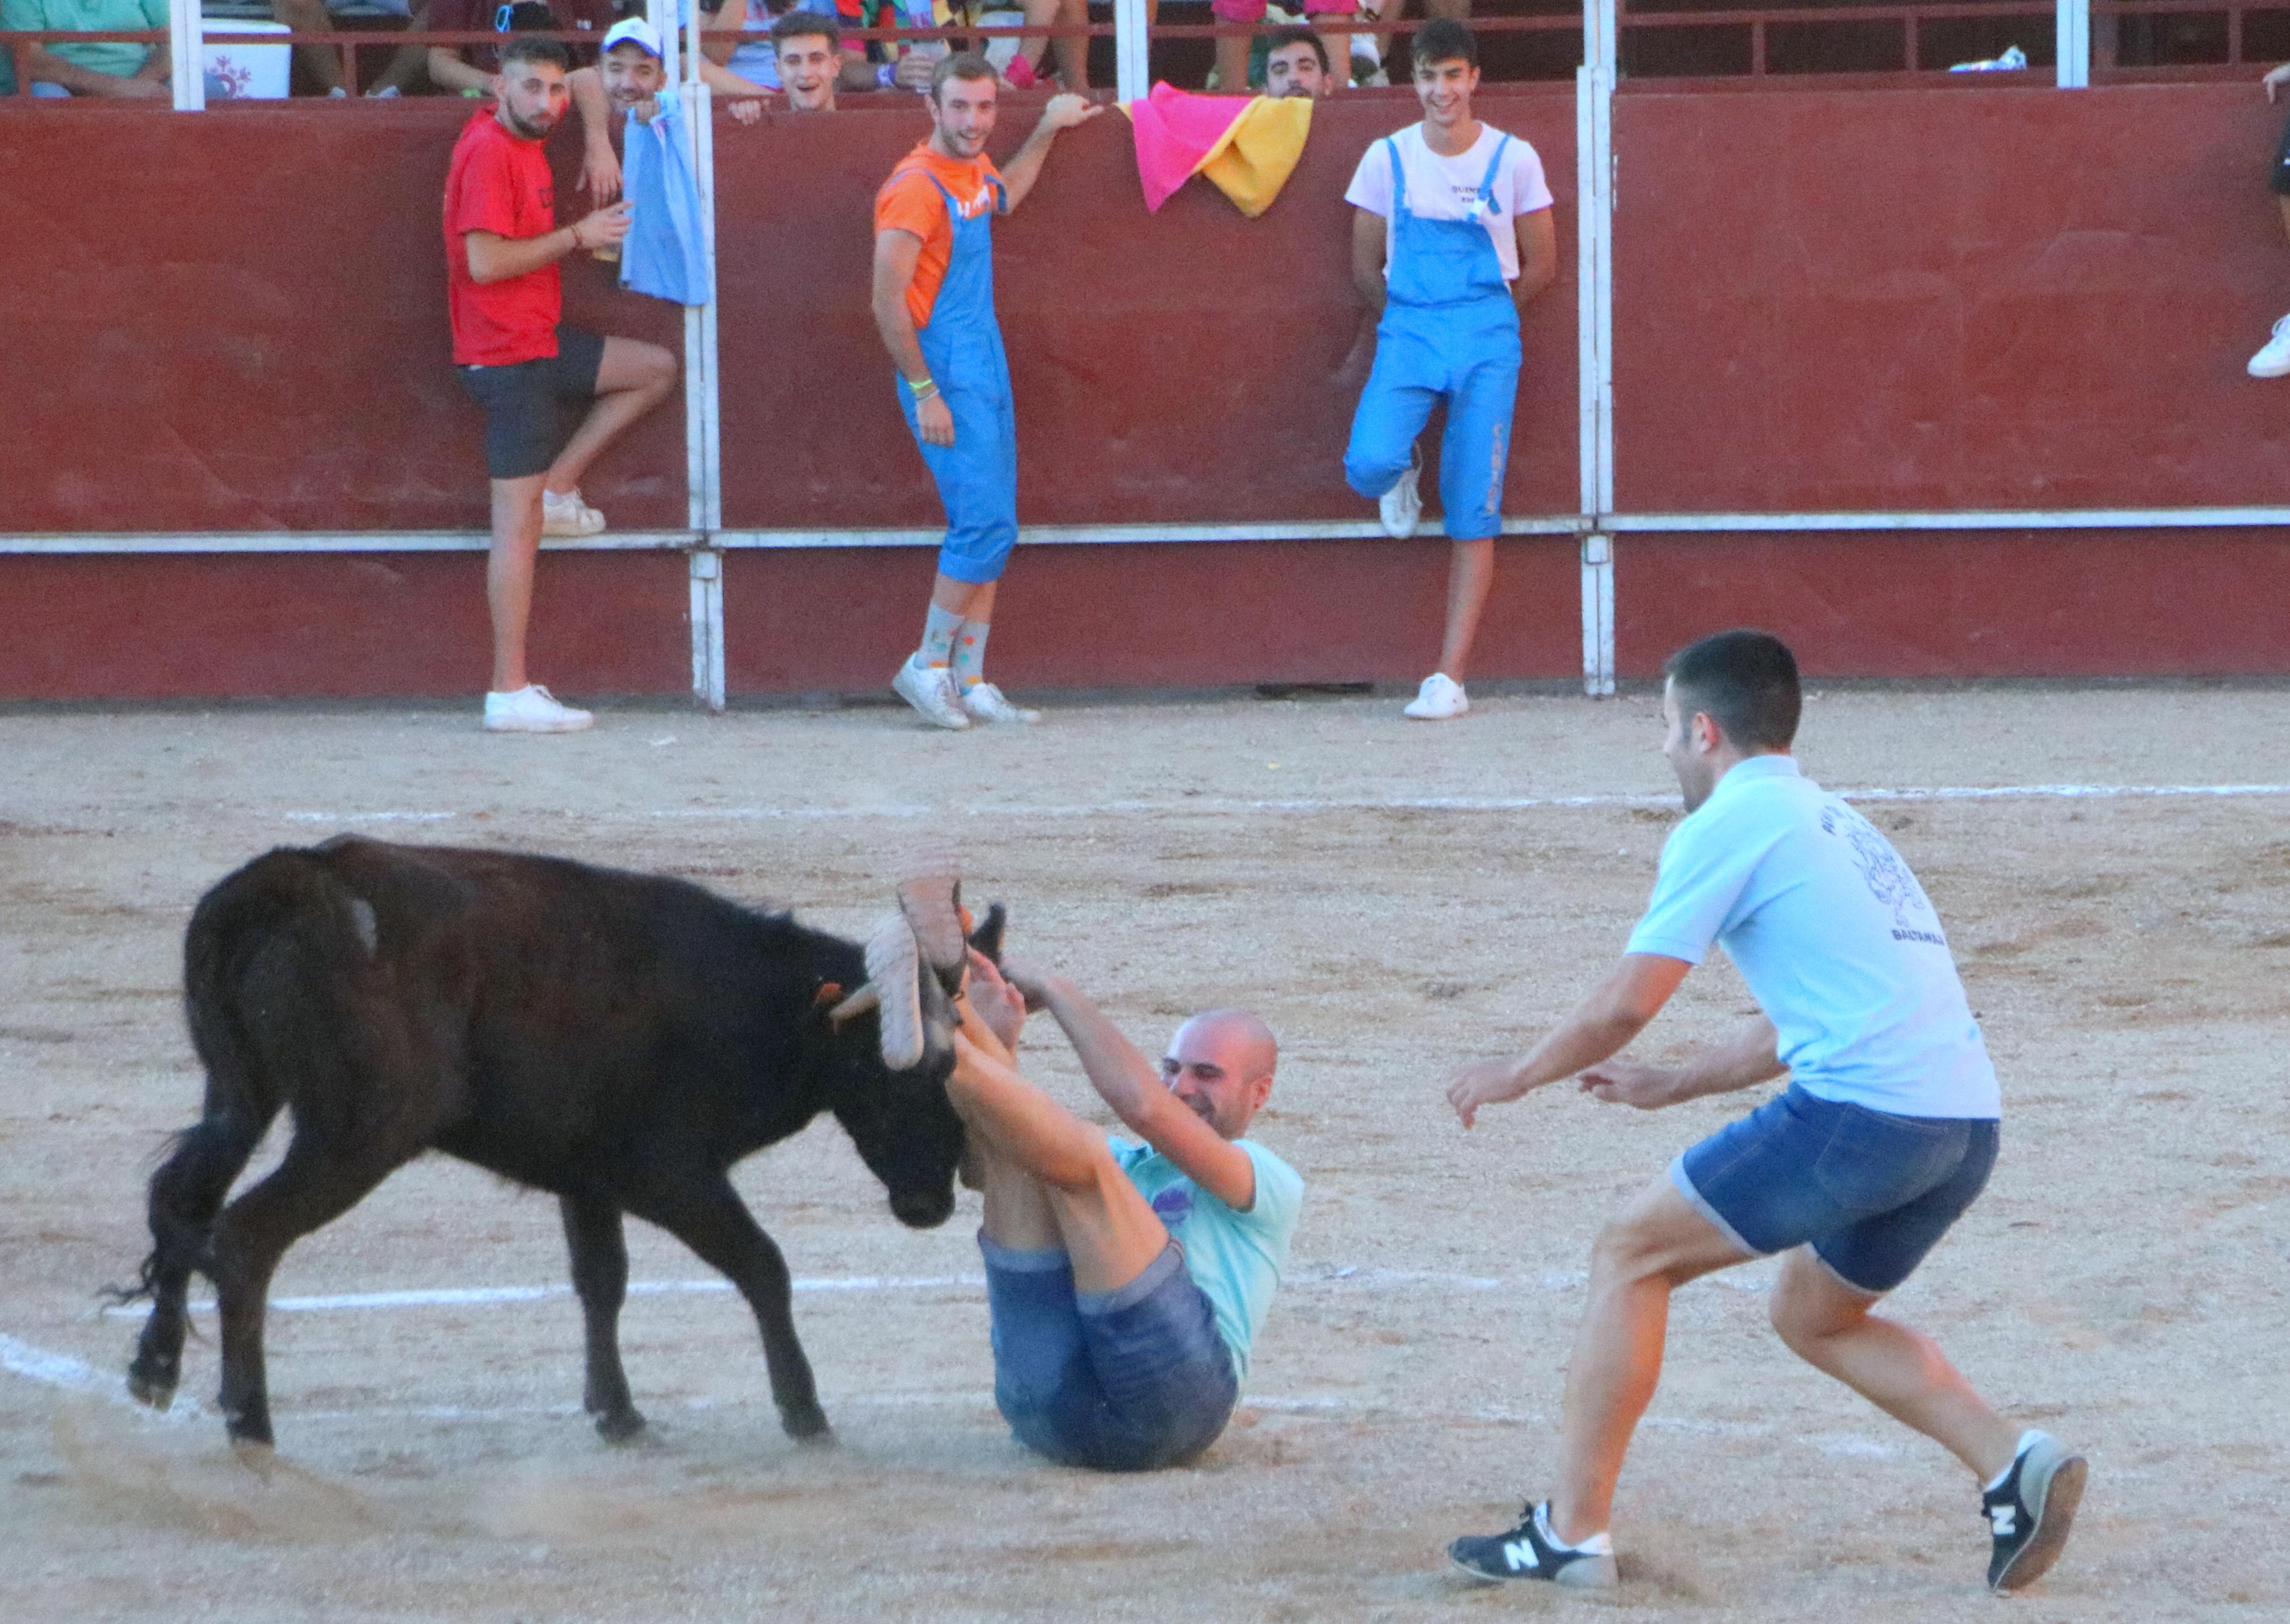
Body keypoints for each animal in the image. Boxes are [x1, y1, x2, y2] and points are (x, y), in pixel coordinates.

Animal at [114, 838, 993, 1447]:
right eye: (897, 1074)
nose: (930, 1203)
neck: (753, 1003)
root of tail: (292, 878)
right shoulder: (669, 1174)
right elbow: (762, 1266)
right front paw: (804, 1409)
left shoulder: (587, 1177)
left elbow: (601, 1280)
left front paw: (618, 1411)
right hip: (357, 1132)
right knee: (245, 1235)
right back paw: (250, 1421)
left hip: (240, 1096)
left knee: (181, 1202)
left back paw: (154, 1369)